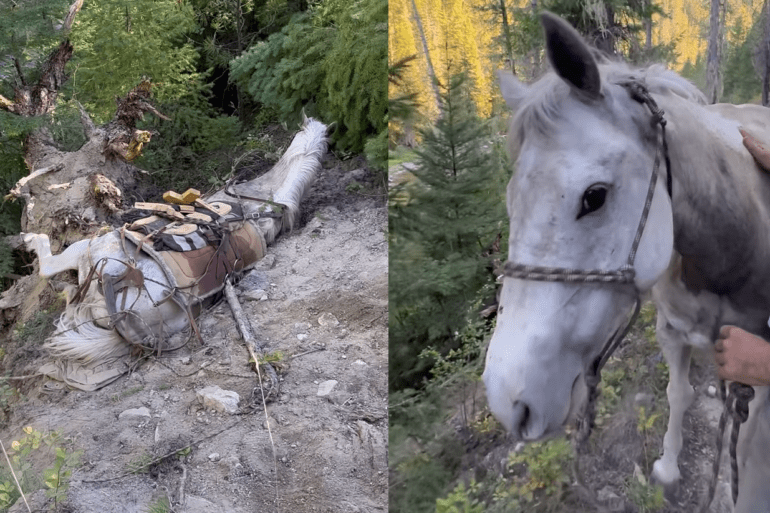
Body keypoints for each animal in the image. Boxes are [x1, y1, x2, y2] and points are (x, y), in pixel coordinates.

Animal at [483, 12, 770, 512]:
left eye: (594, 196)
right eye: (510, 200)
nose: (508, 402)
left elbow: (750, 442)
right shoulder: (673, 332)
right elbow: (678, 393)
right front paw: (668, 469)